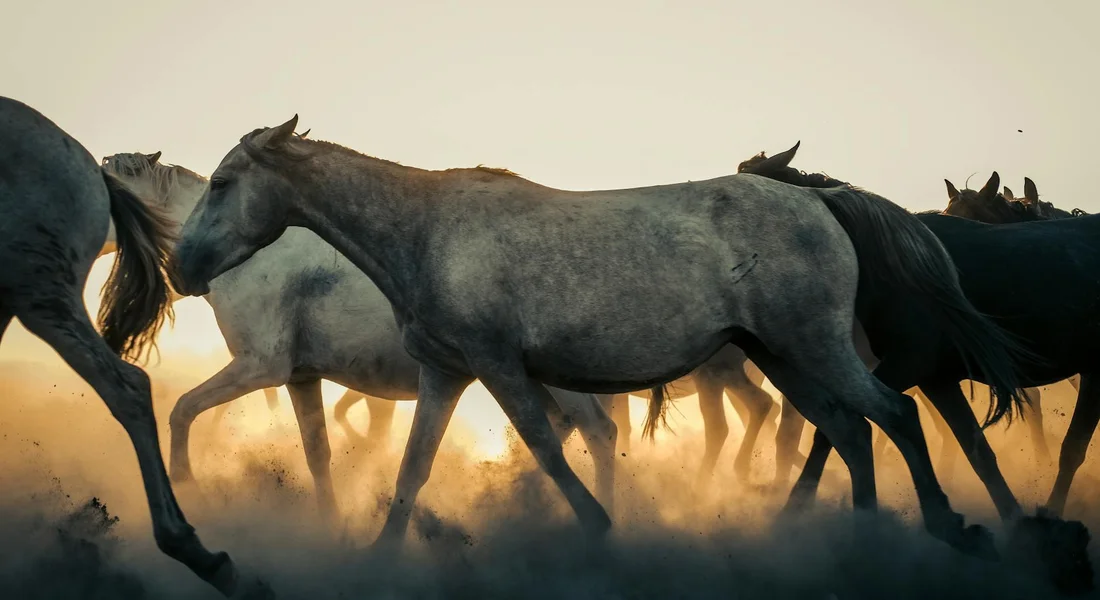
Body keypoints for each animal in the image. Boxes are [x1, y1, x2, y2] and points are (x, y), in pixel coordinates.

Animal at [101, 151, 619, 524]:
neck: (243, 258)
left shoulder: (259, 368)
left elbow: (183, 409)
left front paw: (187, 484)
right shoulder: (299, 378)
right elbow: (318, 455)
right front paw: (331, 525)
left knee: (598, 432)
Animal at [173, 115, 1029, 565]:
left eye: (222, 184)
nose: (182, 269)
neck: (428, 232)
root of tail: (825, 201)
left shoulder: (498, 366)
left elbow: (548, 451)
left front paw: (599, 532)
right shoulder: (447, 374)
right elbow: (413, 469)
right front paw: (382, 557)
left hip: (811, 348)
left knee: (893, 414)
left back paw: (942, 527)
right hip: (781, 357)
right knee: (849, 430)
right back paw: (855, 542)